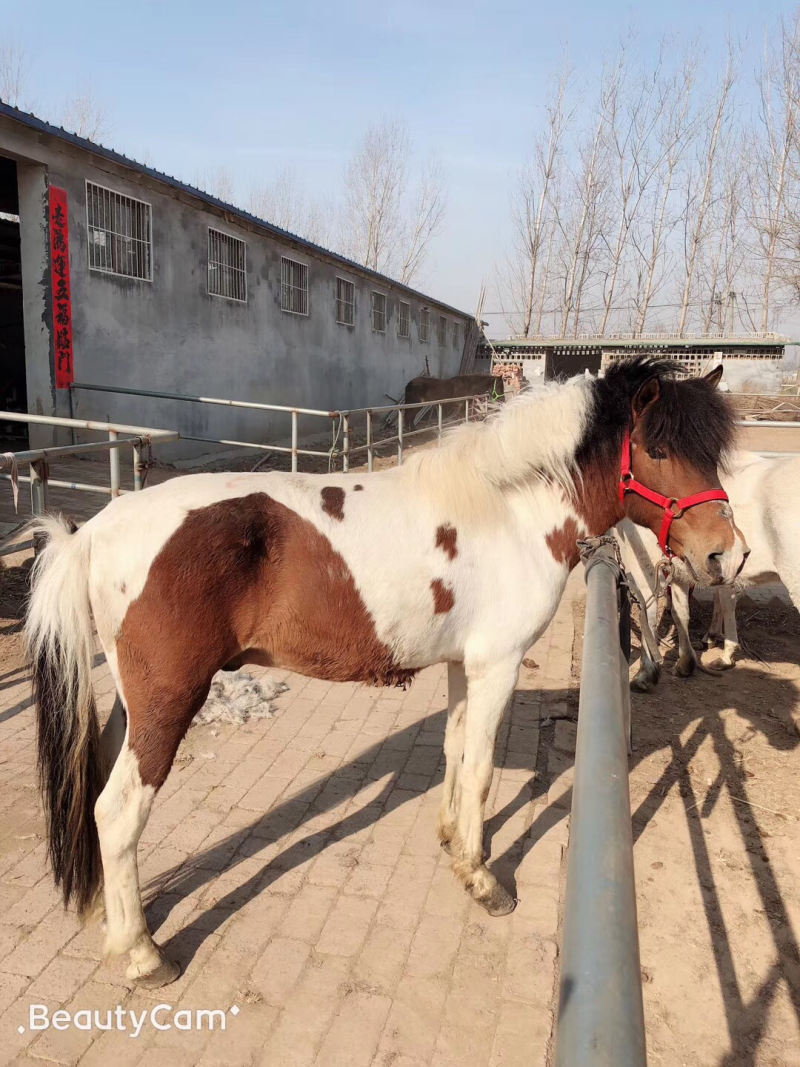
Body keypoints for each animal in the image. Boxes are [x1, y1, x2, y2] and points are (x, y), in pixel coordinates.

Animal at [25, 357, 745, 989]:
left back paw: (113, 918)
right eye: (658, 449)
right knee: (118, 810)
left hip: (131, 704)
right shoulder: (498, 663)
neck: (508, 511)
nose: (725, 555)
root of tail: (93, 531)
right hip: (168, 702)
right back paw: (143, 954)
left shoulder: (464, 663)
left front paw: (452, 840)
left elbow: (456, 751)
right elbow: (482, 770)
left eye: (711, 453)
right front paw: (481, 878)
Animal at [618, 449, 800, 689]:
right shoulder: (683, 573)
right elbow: (683, 613)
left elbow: (648, 616)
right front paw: (689, 660)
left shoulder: (643, 569)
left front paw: (645, 674)